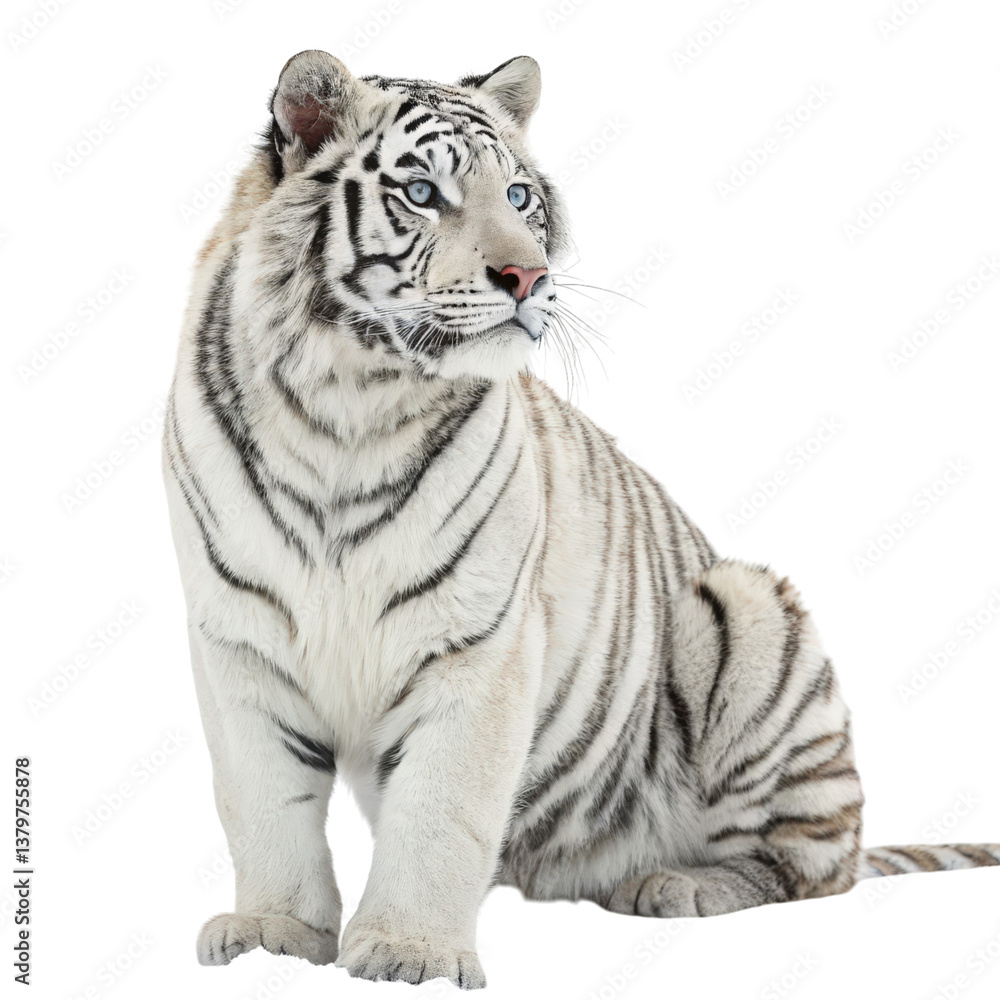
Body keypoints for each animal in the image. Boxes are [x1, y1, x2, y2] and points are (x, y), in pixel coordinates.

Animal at [161, 50, 1000, 989]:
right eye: (421, 192)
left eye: (519, 195)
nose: (528, 278)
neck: (347, 403)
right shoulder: (238, 641)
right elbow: (265, 804)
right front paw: (273, 931)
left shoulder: (479, 644)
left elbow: (439, 812)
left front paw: (413, 953)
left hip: (745, 611)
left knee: (812, 865)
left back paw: (676, 884)